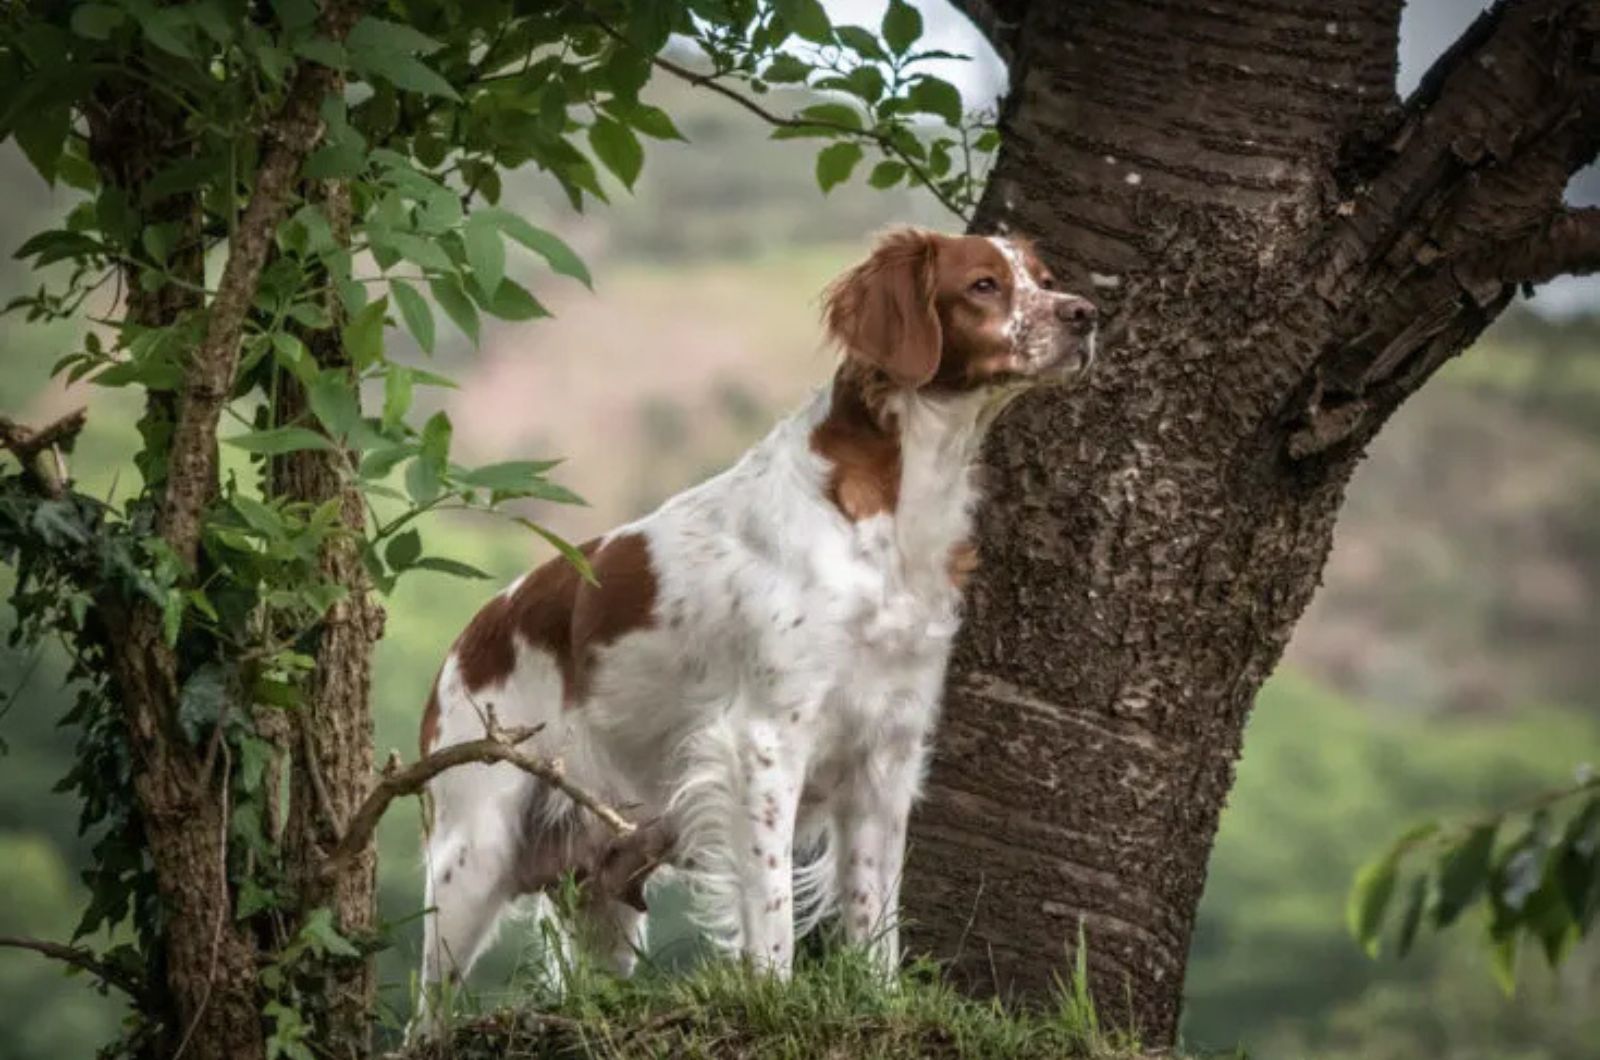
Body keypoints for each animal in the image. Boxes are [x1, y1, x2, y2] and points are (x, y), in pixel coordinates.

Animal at [409, 225, 1100, 1024]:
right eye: (984, 285)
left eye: (1042, 278)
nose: (1086, 314)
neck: (894, 515)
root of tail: (463, 645)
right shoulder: (765, 740)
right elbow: (769, 907)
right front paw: (775, 996)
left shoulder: (888, 751)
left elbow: (877, 913)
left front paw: (879, 999)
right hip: (474, 850)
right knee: (421, 1020)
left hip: (601, 887)